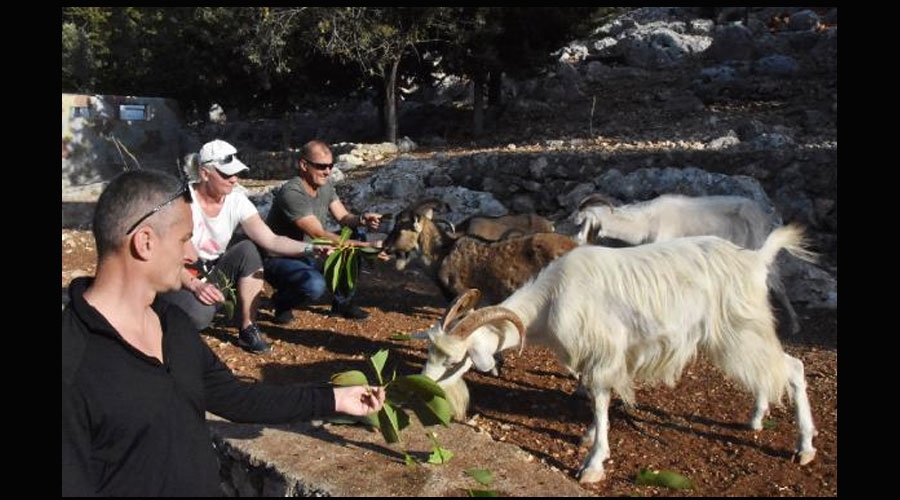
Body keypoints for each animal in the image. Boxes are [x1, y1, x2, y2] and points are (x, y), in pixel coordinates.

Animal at [416, 225, 818, 483]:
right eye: (430, 352)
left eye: (454, 360)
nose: (423, 386)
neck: (552, 299)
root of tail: (756, 259)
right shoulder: (603, 359)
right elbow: (600, 399)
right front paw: (590, 437)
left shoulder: (603, 353)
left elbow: (599, 400)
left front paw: (593, 465)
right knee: (768, 372)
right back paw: (757, 417)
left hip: (741, 330)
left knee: (793, 368)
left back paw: (805, 447)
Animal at [574, 193, 803, 335]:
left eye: (583, 222)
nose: (577, 241)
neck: (646, 222)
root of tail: (764, 214)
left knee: (776, 284)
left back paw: (793, 326)